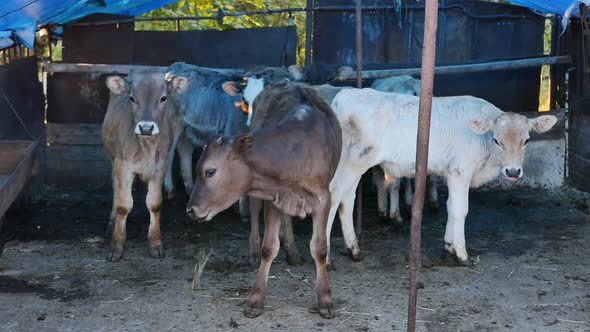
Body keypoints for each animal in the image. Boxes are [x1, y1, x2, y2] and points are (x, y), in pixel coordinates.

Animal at [102, 71, 173, 260]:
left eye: (163, 98)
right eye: (132, 98)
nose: (146, 128)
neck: (146, 147)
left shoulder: (160, 167)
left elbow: (155, 204)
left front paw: (156, 244)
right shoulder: (122, 165)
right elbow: (123, 205)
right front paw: (116, 246)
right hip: (113, 160)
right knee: (116, 189)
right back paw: (111, 223)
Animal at [187, 81, 344, 320]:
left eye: (210, 171)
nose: (191, 210)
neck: (295, 153)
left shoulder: (323, 197)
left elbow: (320, 248)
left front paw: (325, 299)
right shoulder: (273, 198)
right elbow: (268, 248)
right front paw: (256, 298)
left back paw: (292, 252)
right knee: (254, 211)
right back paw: (257, 249)